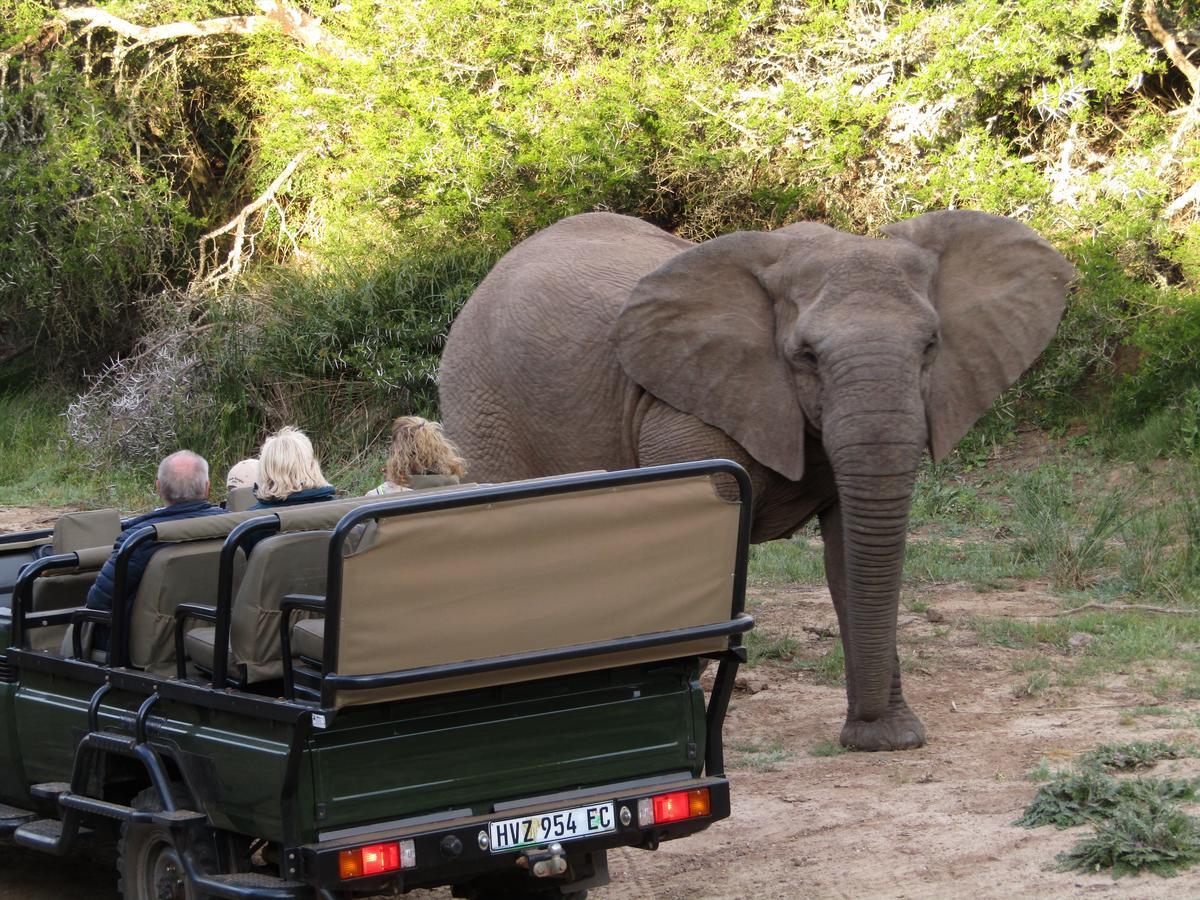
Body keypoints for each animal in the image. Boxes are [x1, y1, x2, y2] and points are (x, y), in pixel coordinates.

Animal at [436, 211, 1075, 753]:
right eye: (806, 355)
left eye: (931, 346)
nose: (875, 739)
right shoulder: (686, 413)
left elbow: (852, 553)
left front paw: (887, 738)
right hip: (481, 399)